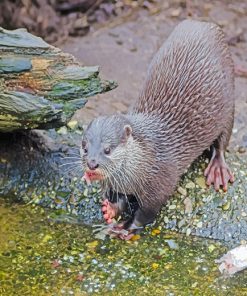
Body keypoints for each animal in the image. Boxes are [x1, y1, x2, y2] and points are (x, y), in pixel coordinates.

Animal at [80, 19, 233, 239]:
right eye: (84, 147)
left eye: (107, 149)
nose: (92, 164)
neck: (146, 160)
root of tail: (203, 23)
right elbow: (122, 199)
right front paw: (111, 209)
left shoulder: (160, 184)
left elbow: (146, 213)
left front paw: (125, 227)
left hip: (229, 100)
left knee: (222, 140)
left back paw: (218, 169)